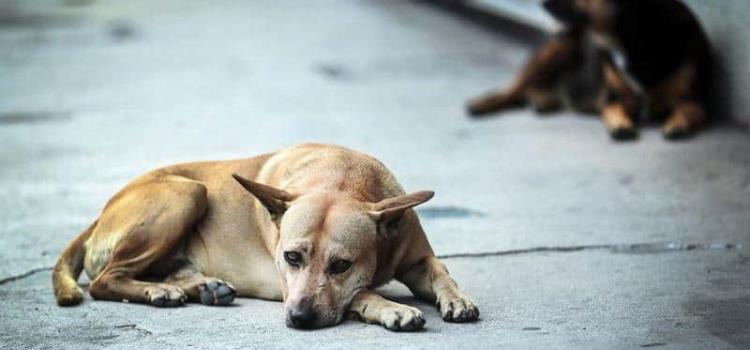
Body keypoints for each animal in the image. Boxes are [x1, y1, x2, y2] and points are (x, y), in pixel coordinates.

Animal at [53, 143, 478, 330]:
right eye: (291, 257)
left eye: (342, 265)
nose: (299, 318)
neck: (343, 178)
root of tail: (101, 213)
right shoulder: (288, 284)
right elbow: (363, 293)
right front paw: (390, 307)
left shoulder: (417, 257)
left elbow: (440, 272)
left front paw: (457, 299)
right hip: (188, 193)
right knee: (105, 280)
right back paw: (159, 291)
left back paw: (200, 287)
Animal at [468, 0, 712, 140]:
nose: (541, 4)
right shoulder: (613, 99)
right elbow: (614, 109)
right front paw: (620, 125)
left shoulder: (695, 101)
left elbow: (687, 110)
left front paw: (677, 123)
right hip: (558, 48)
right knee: (513, 89)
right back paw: (480, 104)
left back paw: (542, 100)